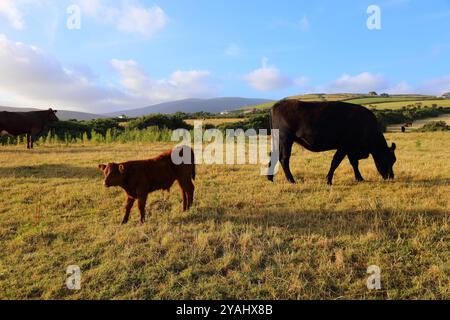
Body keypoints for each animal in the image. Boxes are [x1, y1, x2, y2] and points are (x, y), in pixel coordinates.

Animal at [268, 100, 398, 185]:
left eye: (394, 160)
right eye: (389, 159)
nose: (391, 176)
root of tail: (277, 105)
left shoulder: (350, 149)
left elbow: (354, 163)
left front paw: (359, 178)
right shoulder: (344, 146)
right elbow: (335, 162)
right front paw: (329, 180)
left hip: (279, 141)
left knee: (274, 156)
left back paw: (270, 178)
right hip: (286, 139)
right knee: (284, 159)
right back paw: (292, 180)